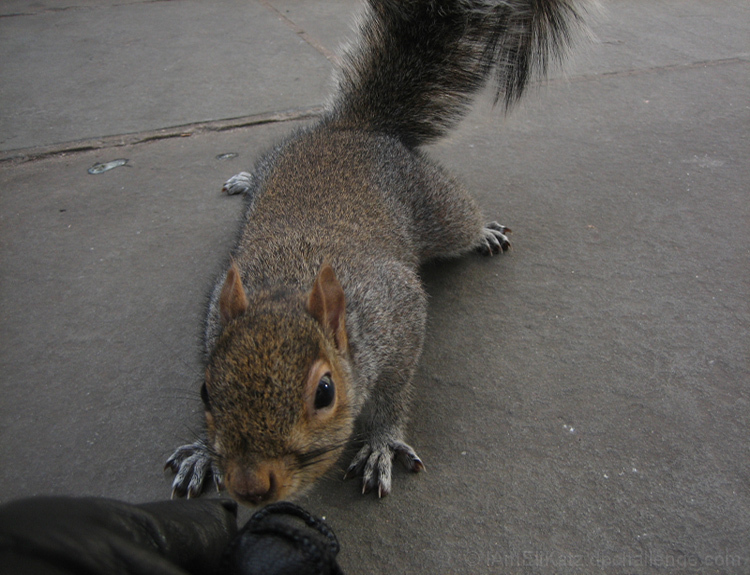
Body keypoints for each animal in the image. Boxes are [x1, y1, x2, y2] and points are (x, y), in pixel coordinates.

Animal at [166, 0, 594, 506]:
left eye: (325, 392)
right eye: (204, 391)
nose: (250, 487)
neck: (290, 284)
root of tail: (353, 128)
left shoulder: (398, 313)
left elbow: (394, 389)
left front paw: (381, 443)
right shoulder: (217, 313)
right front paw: (200, 451)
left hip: (437, 204)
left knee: (462, 217)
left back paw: (484, 232)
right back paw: (247, 180)